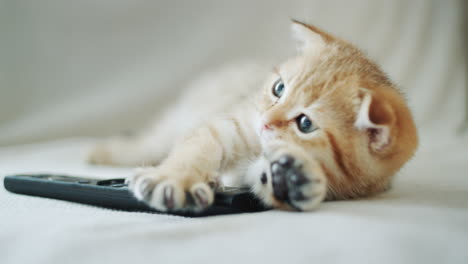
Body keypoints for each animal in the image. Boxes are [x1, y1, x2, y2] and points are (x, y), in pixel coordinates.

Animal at [89, 19, 418, 211]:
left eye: (305, 123)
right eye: (279, 88)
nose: (265, 121)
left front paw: (296, 177)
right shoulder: (233, 122)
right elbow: (198, 146)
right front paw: (175, 177)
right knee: (148, 142)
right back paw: (103, 153)